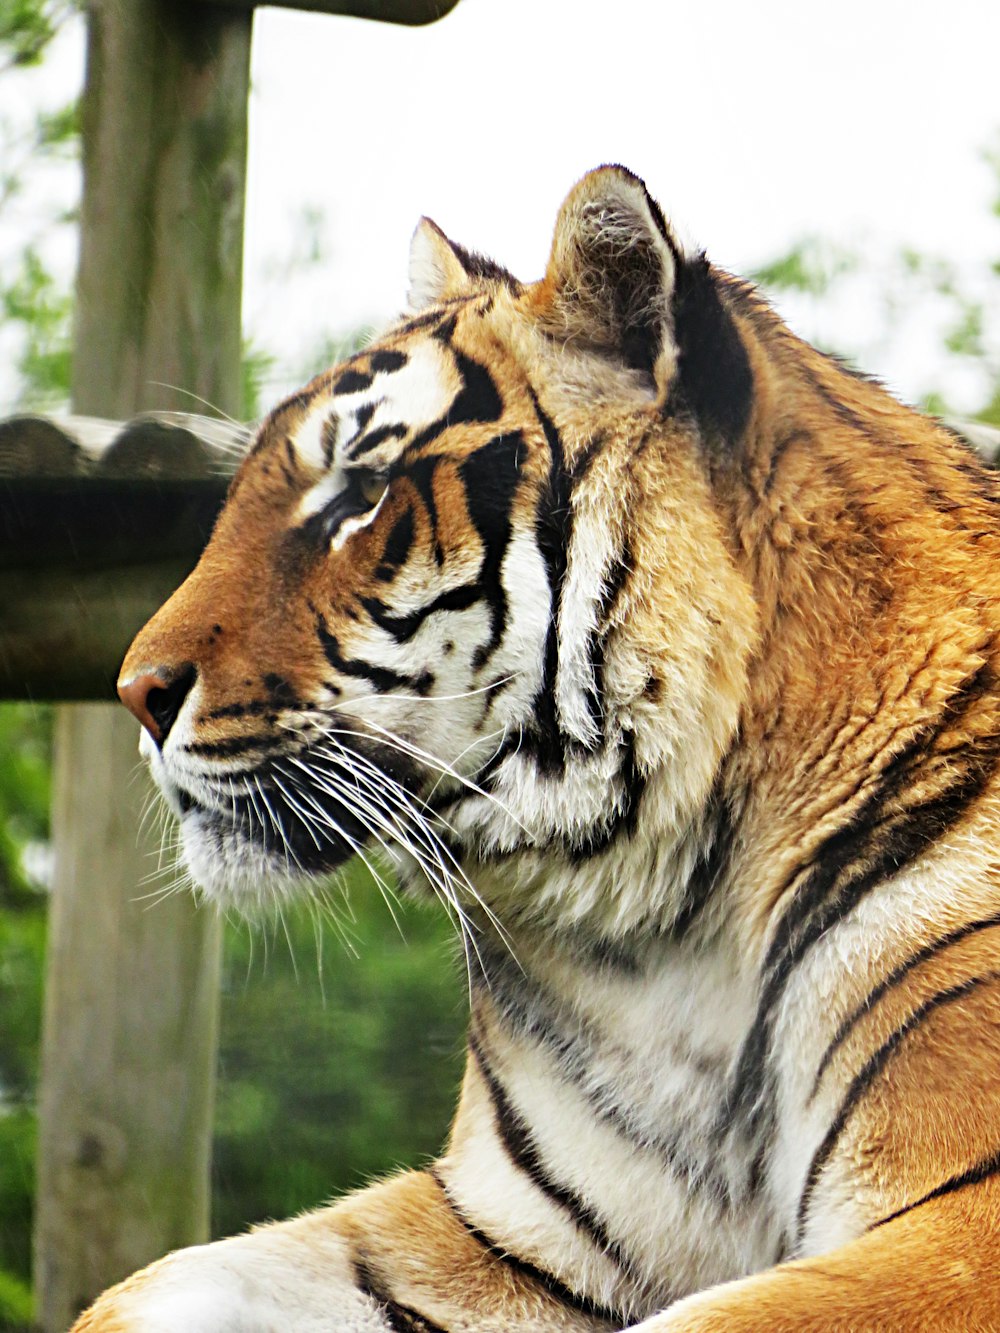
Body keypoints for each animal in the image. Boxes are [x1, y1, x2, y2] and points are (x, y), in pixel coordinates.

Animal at [80, 169, 1000, 1333]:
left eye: (360, 495)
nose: (136, 692)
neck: (672, 921)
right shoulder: (513, 1228)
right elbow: (149, 1285)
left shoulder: (964, 1216)